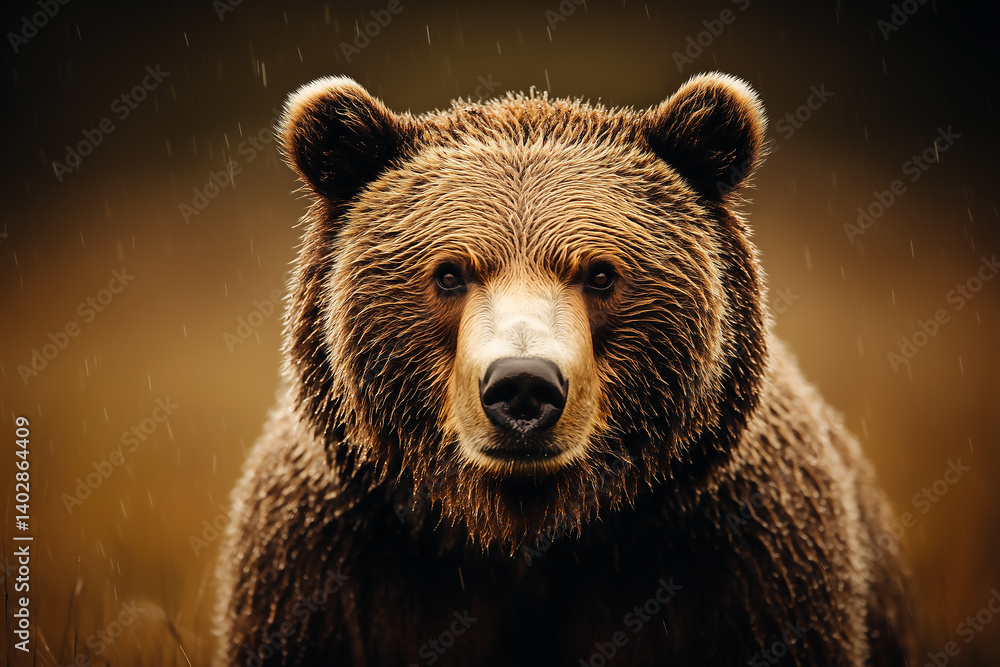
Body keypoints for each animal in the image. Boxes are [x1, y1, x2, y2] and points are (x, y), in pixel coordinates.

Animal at [214, 72, 913, 666]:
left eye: (601, 274)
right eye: (449, 274)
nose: (523, 385)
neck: (531, 537)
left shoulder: (741, 570)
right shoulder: (334, 577)